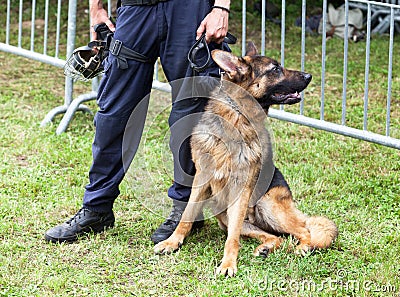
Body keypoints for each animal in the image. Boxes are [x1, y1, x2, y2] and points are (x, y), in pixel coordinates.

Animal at [154, 42, 338, 276]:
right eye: (275, 69)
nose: (309, 75)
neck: (238, 117)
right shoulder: (201, 179)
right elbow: (187, 215)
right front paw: (172, 242)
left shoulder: (241, 189)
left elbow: (232, 239)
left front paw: (228, 264)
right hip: (226, 216)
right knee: (274, 236)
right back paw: (265, 248)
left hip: (267, 206)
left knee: (304, 230)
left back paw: (302, 248)